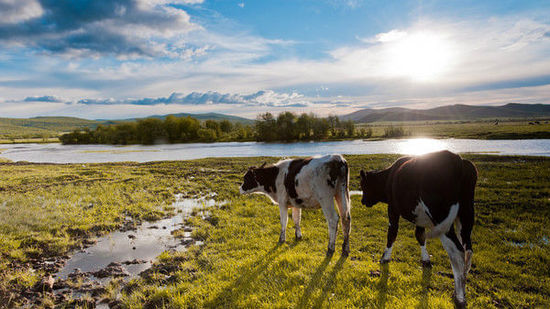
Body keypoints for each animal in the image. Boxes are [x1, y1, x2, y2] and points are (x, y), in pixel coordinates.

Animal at [362, 150, 478, 306]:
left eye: (363, 185)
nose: (363, 201)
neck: (389, 176)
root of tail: (457, 159)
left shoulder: (393, 209)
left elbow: (392, 233)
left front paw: (385, 257)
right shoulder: (419, 217)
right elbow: (420, 235)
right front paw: (426, 260)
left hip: (442, 219)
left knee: (457, 252)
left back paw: (459, 297)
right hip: (465, 217)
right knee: (468, 251)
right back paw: (462, 288)